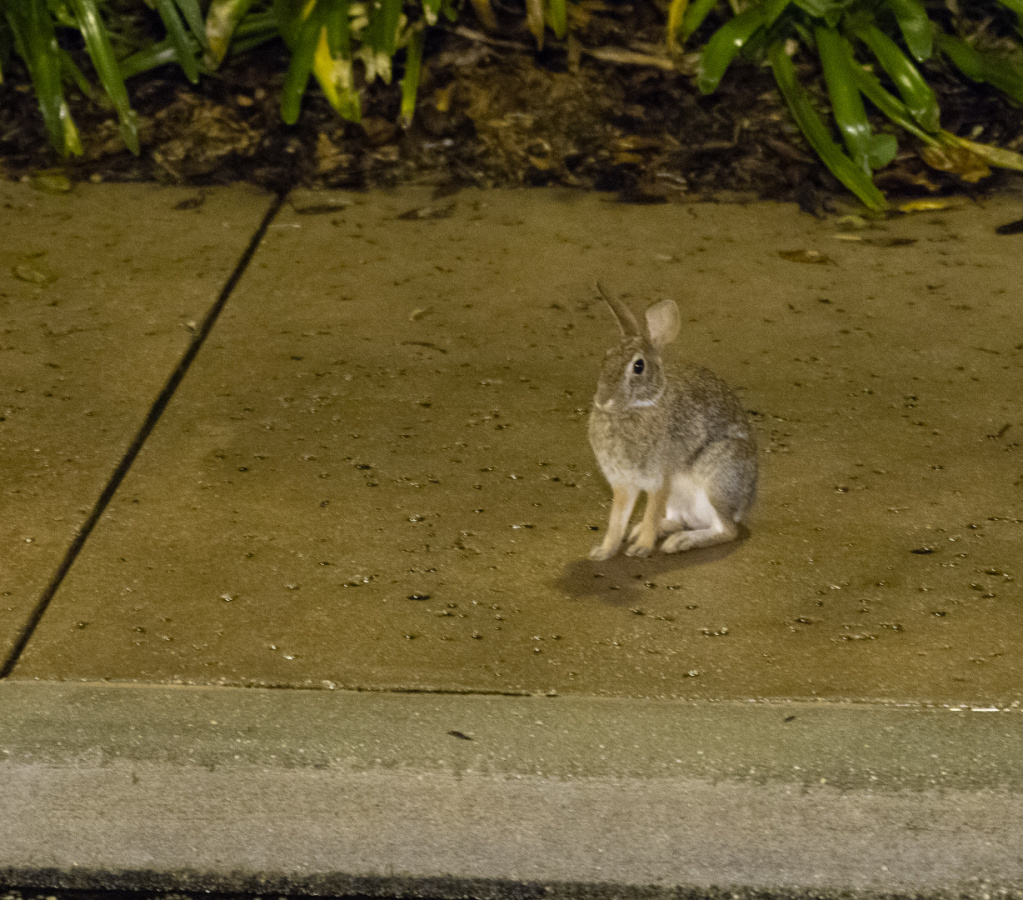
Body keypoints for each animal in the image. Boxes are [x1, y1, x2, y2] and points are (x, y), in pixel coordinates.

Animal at [587, 283, 757, 561]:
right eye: (606, 357)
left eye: (638, 366)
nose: (603, 400)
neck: (636, 408)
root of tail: (744, 504)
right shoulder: (624, 483)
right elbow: (616, 520)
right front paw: (604, 551)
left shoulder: (661, 478)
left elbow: (651, 511)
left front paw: (641, 549)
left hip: (716, 481)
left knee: (727, 530)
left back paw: (680, 541)